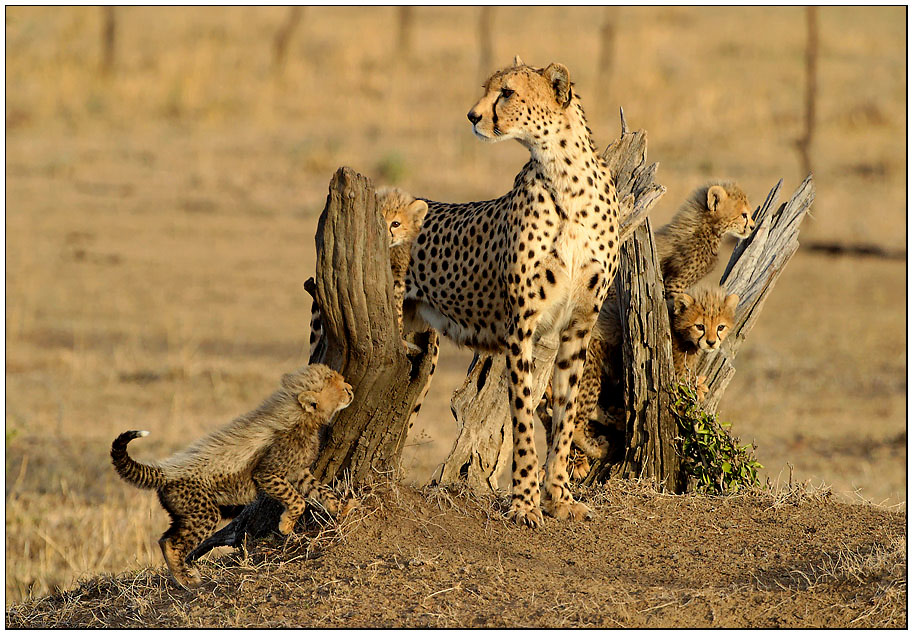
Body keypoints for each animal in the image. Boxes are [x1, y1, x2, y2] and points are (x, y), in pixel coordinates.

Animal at [404, 59, 624, 528]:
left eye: (506, 92)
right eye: (487, 89)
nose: (472, 116)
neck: (565, 177)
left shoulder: (577, 326)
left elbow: (565, 417)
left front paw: (559, 497)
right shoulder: (520, 327)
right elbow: (522, 419)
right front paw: (524, 503)